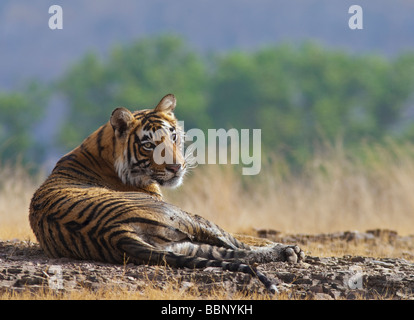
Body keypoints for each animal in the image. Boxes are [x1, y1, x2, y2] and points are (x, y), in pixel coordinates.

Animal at [29, 94, 304, 294]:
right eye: (148, 144)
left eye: (173, 136)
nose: (176, 167)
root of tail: (114, 233)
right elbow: (243, 236)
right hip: (184, 216)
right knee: (233, 243)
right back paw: (289, 251)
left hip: (180, 246)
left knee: (228, 253)